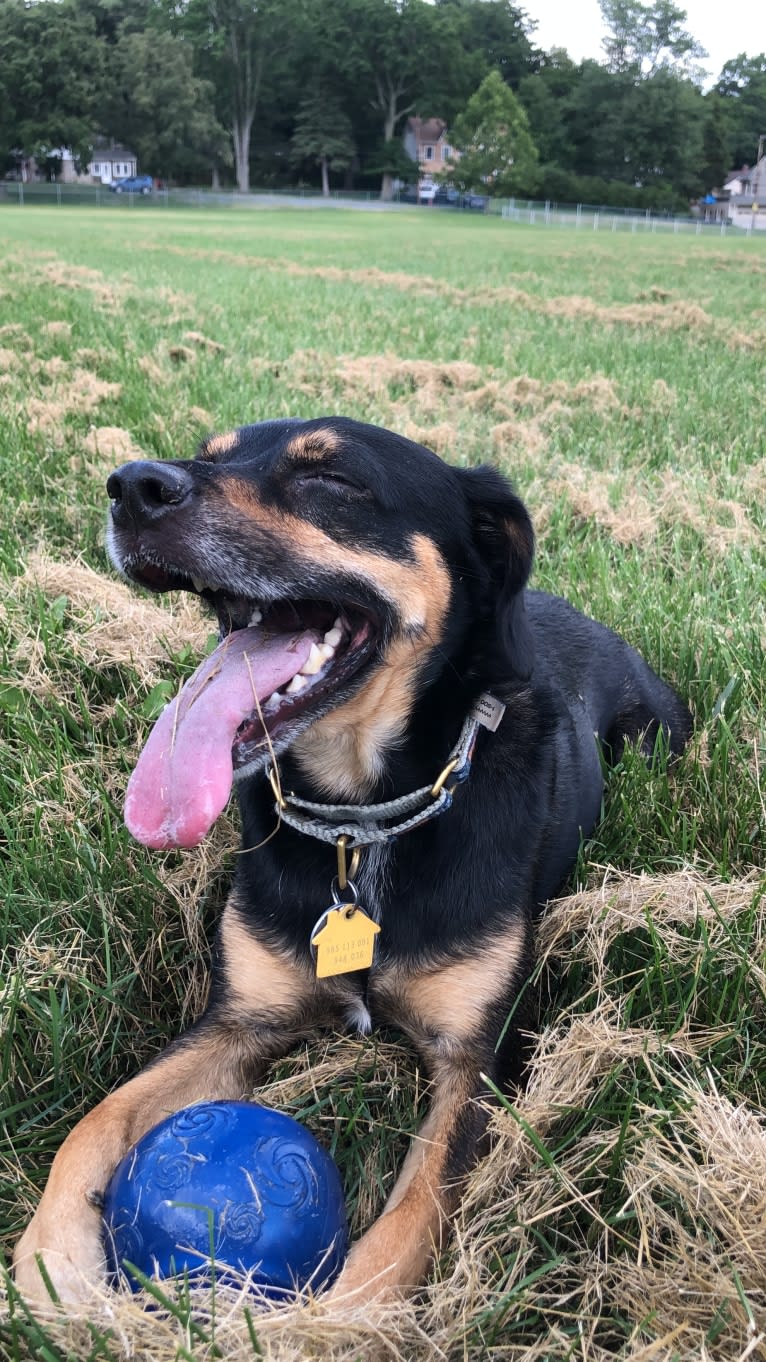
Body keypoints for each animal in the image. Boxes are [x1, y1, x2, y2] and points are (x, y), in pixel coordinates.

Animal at [14, 416, 689, 1307]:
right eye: (212, 450)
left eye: (332, 479)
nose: (131, 486)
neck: (360, 824)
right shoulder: (239, 1020)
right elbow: (94, 1125)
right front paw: (50, 1267)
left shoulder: (478, 1060)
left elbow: (405, 1231)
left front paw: (326, 1324)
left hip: (656, 736)